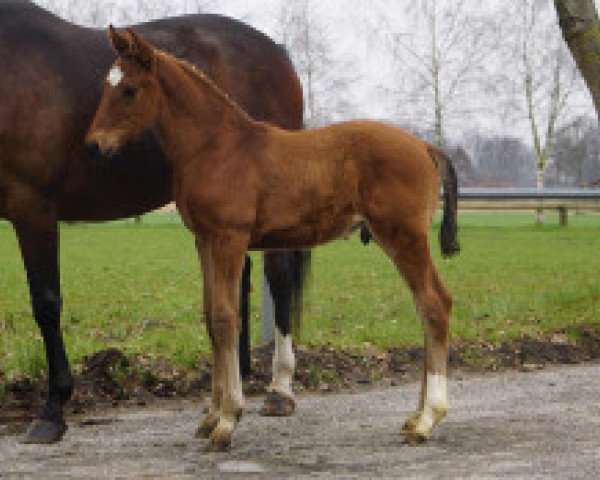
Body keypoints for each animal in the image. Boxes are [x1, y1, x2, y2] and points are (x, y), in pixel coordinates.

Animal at [0, 1, 308, 446]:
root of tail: (278, 54)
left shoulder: (33, 207)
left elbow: (46, 303)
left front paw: (52, 411)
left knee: (279, 280)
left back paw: (279, 389)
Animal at [85, 28, 460, 452]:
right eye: (106, 85)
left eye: (130, 89)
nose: (93, 145)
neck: (216, 147)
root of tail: (426, 147)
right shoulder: (204, 241)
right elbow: (210, 316)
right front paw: (210, 417)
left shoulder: (230, 239)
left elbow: (226, 318)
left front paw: (227, 421)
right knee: (425, 307)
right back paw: (414, 417)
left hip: (404, 236)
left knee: (435, 304)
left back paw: (429, 419)